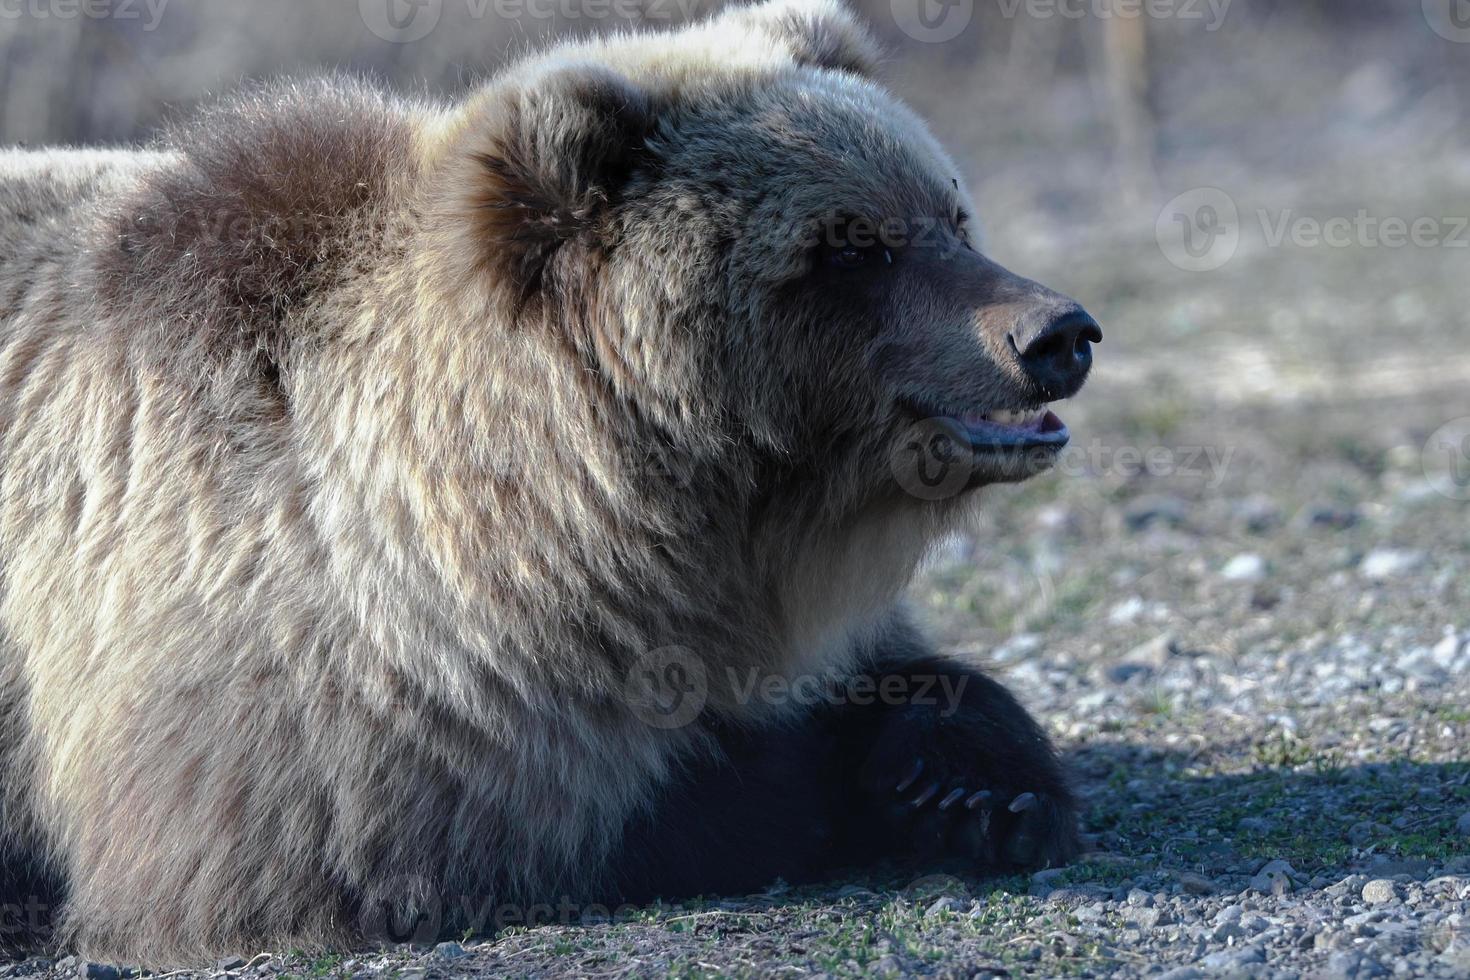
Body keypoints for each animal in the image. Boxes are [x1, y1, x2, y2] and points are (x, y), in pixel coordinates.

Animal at [0, 0, 1093, 963]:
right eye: (851, 245)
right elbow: (357, 838)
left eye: (950, 211)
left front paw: (977, 791)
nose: (1057, 332)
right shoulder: (293, 635)